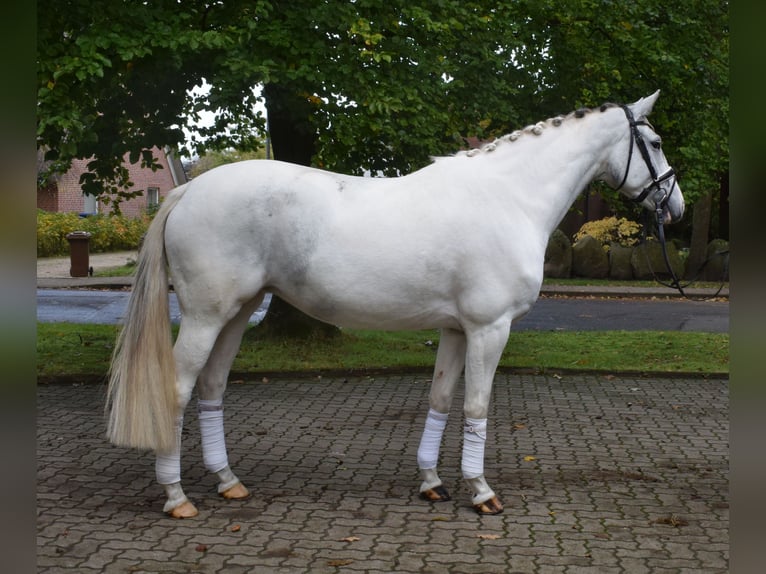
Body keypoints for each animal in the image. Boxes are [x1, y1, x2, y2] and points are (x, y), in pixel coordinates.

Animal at [106, 92, 684, 520]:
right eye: (654, 142)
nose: (675, 207)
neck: (508, 197)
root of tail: (188, 192)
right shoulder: (489, 328)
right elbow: (476, 407)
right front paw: (481, 492)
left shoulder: (456, 330)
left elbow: (441, 399)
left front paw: (432, 482)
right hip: (205, 317)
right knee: (178, 391)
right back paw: (177, 497)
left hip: (237, 313)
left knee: (212, 388)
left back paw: (228, 482)